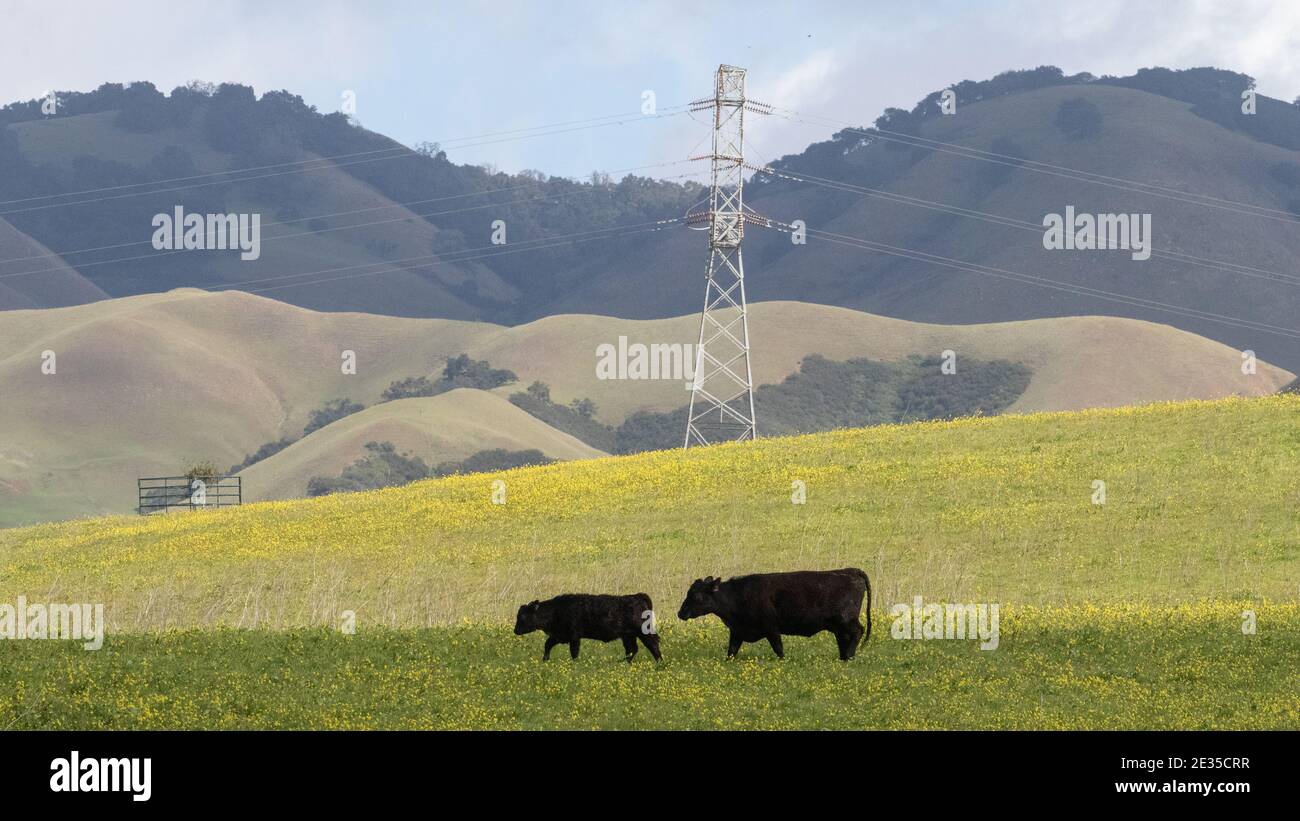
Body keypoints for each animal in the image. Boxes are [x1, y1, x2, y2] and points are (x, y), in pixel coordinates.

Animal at [514, 589, 665, 659]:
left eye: (523, 616)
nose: (515, 630)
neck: (556, 609)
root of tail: (637, 596)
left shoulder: (574, 637)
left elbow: (574, 652)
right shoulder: (559, 636)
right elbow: (547, 645)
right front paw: (545, 660)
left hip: (643, 633)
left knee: (653, 645)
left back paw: (659, 662)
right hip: (628, 636)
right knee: (632, 650)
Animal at [676, 571, 868, 659]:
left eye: (696, 596)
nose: (680, 613)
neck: (738, 596)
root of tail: (851, 571)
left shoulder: (772, 629)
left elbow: (779, 649)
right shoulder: (737, 631)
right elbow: (731, 651)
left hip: (846, 619)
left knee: (858, 631)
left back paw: (849, 656)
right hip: (838, 625)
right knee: (844, 637)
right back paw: (844, 657)